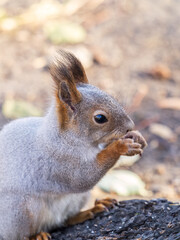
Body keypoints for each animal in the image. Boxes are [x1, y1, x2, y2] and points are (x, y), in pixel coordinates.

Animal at [0, 49, 147, 239]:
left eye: (113, 98)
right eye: (100, 118)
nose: (130, 126)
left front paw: (136, 136)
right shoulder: (58, 162)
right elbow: (83, 178)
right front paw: (121, 147)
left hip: (78, 198)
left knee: (65, 220)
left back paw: (92, 209)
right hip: (20, 210)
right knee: (20, 233)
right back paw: (36, 235)